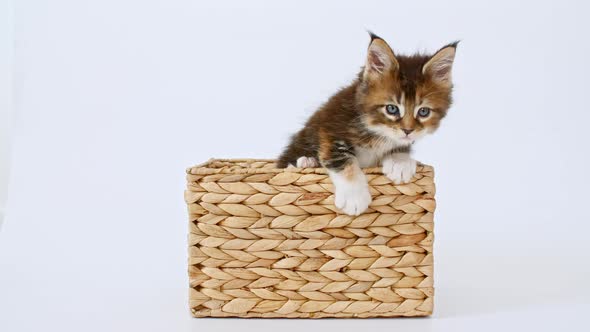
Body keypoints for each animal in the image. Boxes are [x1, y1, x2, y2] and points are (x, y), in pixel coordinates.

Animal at [278, 33, 458, 215]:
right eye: (392, 109)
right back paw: (306, 162)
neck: (375, 129)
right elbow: (342, 158)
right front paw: (354, 197)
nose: (408, 130)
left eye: (423, 112)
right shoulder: (329, 128)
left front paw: (400, 163)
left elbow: (400, 146)